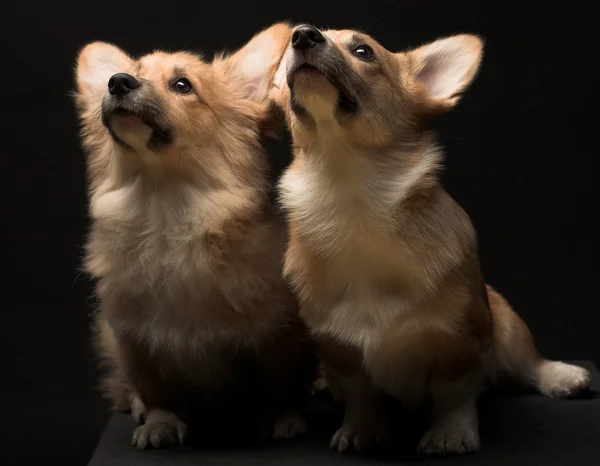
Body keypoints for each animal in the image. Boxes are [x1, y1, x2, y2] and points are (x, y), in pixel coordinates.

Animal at [74, 23, 318, 450]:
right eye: (130, 73)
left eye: (182, 85)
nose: (117, 82)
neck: (166, 212)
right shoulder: (134, 340)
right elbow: (156, 389)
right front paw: (160, 421)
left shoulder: (281, 332)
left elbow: (281, 380)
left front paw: (282, 417)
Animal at [272, 24, 592, 456]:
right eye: (293, 43)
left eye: (363, 51)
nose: (303, 35)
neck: (351, 197)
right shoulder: (341, 350)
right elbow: (361, 394)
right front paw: (362, 428)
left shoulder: (461, 340)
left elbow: (453, 392)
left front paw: (450, 433)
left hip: (508, 325)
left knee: (529, 363)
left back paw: (563, 376)